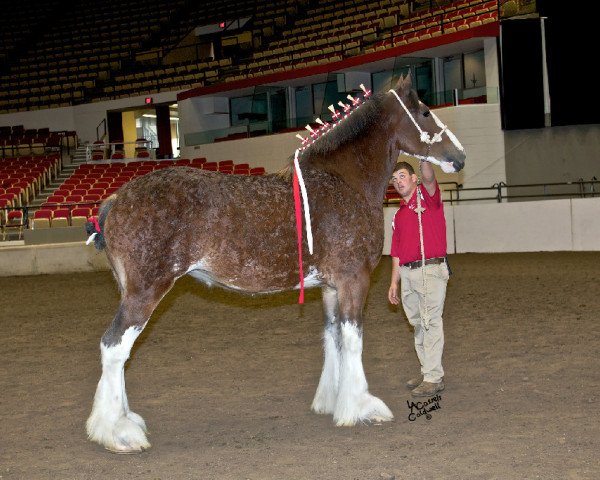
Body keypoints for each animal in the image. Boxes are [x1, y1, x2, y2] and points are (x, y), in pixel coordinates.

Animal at [86, 73, 466, 452]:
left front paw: (332, 402)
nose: (459, 158)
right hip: (145, 293)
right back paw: (117, 432)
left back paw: (122, 422)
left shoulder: (330, 287)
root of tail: (115, 199)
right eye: (425, 112)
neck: (345, 181)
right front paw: (361, 407)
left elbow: (333, 338)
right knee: (114, 346)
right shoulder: (353, 280)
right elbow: (353, 339)